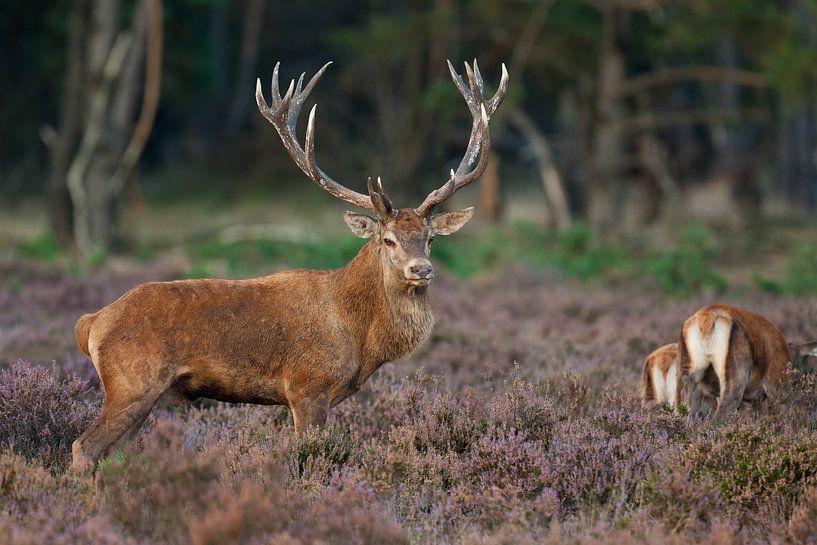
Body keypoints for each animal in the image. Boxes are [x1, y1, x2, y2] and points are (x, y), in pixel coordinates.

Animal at [70, 60, 506, 472]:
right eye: (388, 240)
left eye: (430, 239)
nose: (421, 270)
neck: (358, 336)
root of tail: (91, 322)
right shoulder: (307, 386)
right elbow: (310, 457)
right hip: (132, 383)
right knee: (84, 447)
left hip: (151, 395)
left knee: (118, 451)